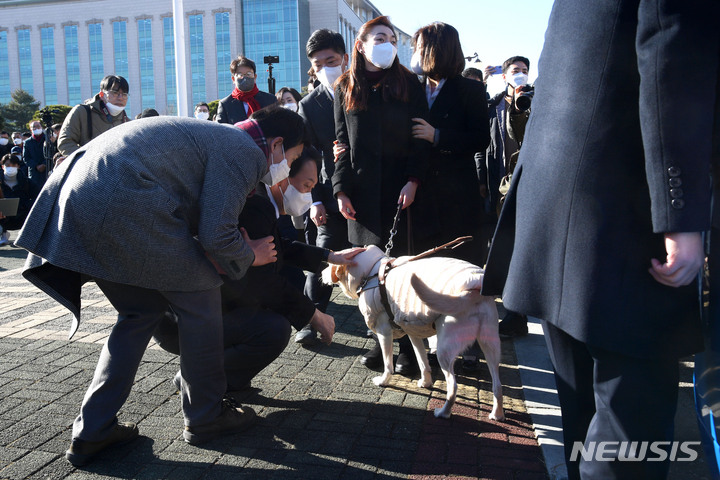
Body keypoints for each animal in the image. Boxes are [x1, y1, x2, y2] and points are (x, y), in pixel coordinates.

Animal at [324, 246, 504, 418]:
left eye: (331, 264)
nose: (321, 271)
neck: (371, 272)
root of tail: (471, 292)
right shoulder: (414, 333)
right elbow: (422, 361)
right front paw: (425, 383)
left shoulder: (384, 333)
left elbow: (388, 364)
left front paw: (383, 380)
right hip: (491, 347)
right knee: (497, 385)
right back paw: (497, 415)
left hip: (445, 351)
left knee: (453, 388)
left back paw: (443, 413)